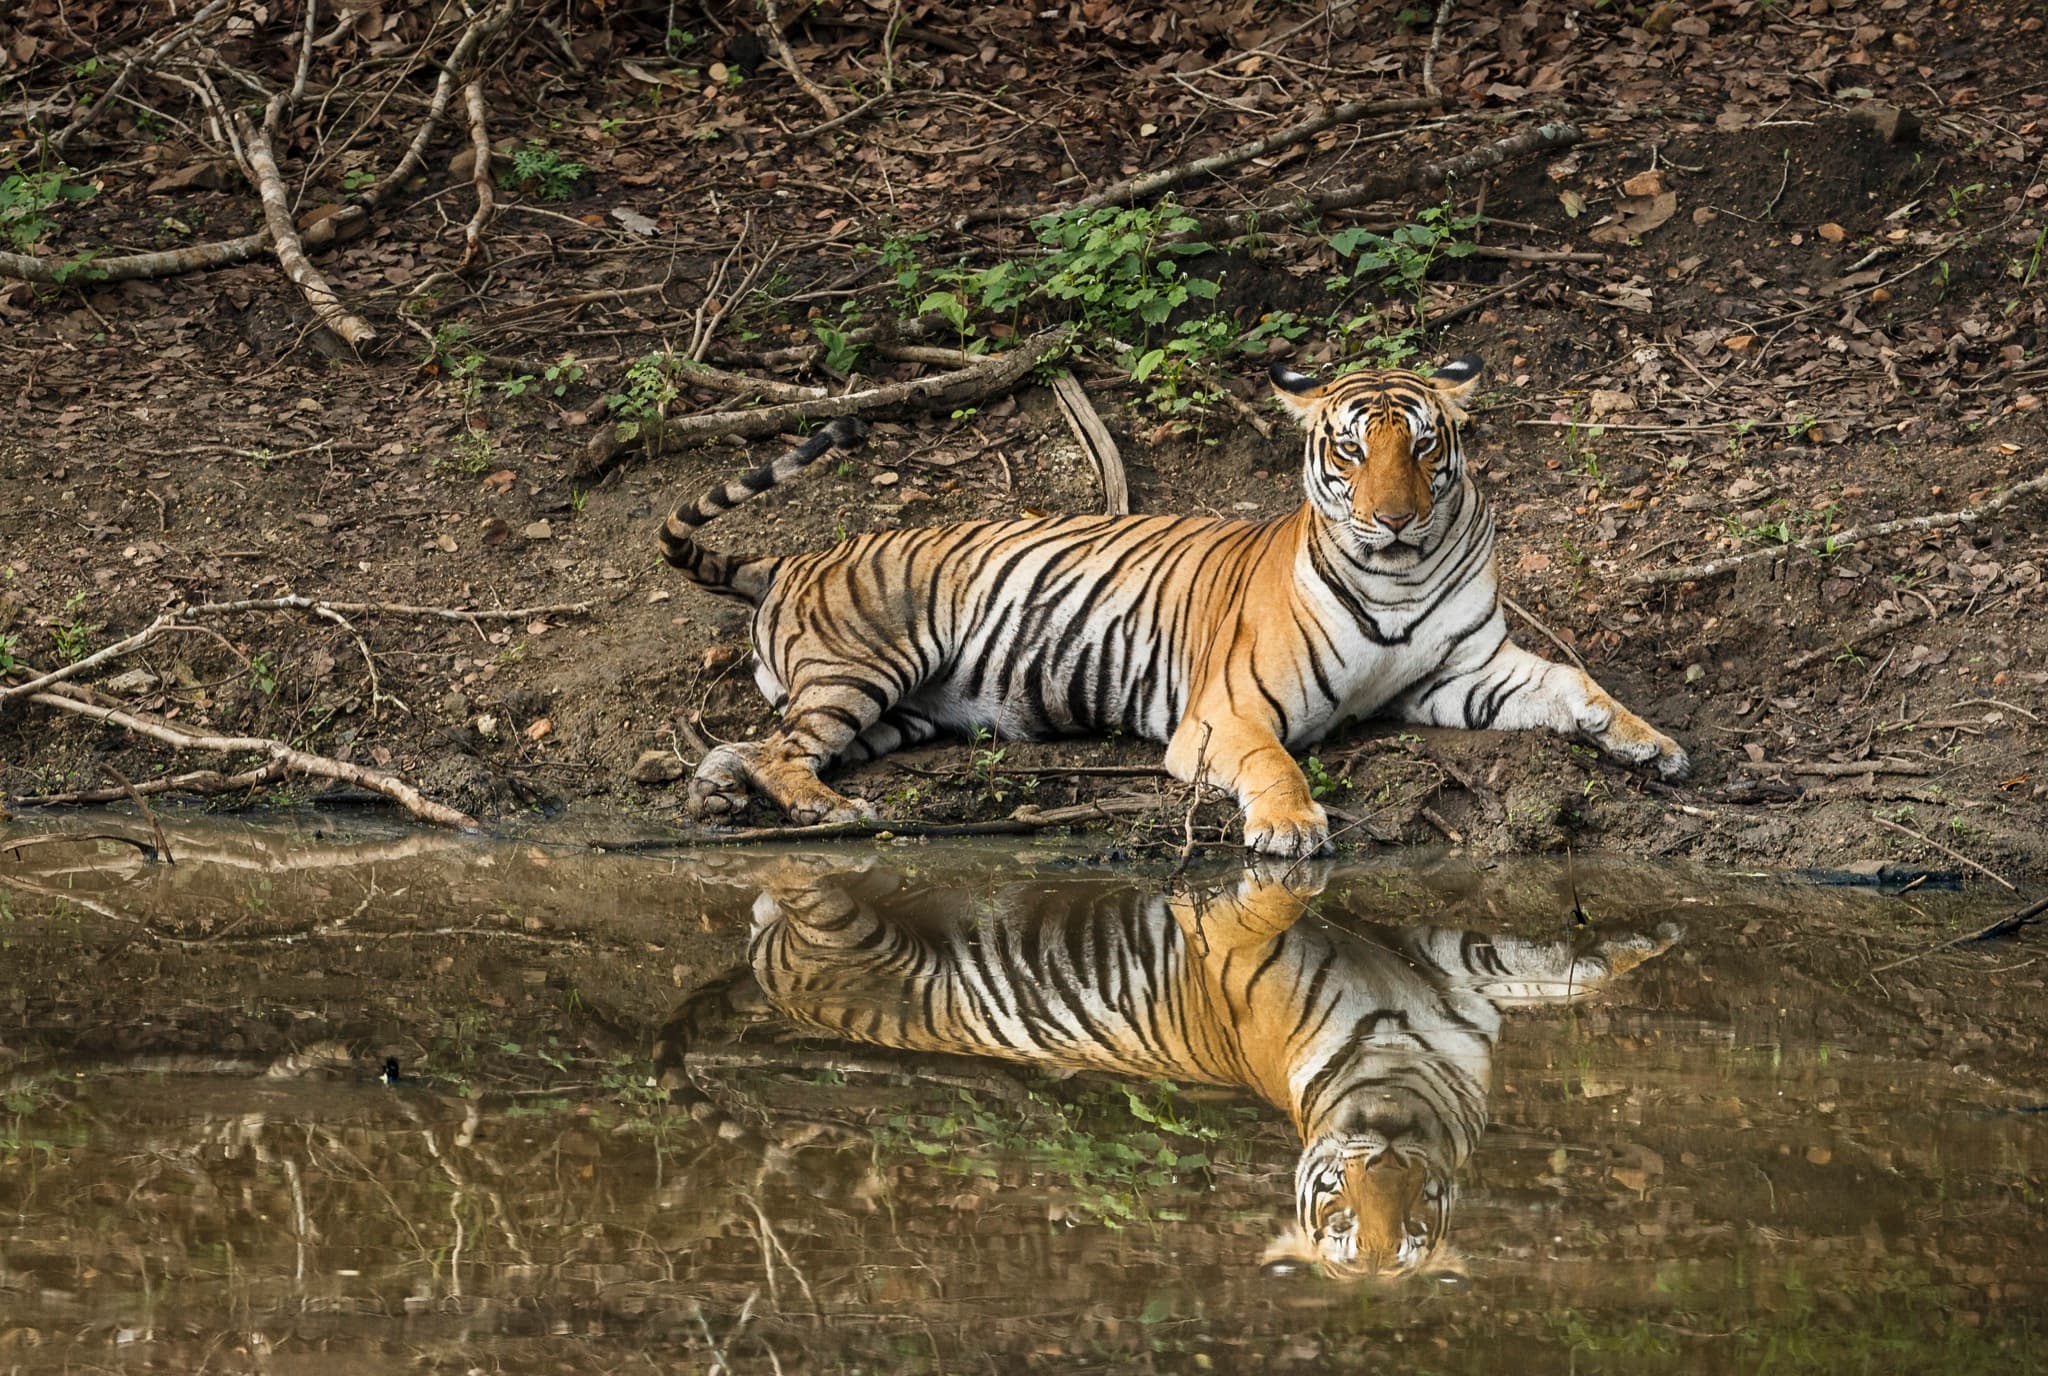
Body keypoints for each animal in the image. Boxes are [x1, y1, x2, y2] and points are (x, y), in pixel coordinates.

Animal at [657, 859, 1680, 1280]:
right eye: (1339, 1215)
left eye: (1414, 1223)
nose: (1382, 1163)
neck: (1397, 1072)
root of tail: (773, 977)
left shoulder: (1446, 968)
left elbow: (1546, 968)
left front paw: (1647, 940)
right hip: (850, 935)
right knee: (798, 880)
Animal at [659, 355, 1688, 855]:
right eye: (1351, 450)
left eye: (1425, 446)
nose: (1394, 517)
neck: (1399, 572)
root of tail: (795, 555)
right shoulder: (1224, 714)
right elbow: (1274, 760)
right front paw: (1289, 827)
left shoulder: (1459, 672)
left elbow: (1575, 684)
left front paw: (1654, 743)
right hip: (866, 668)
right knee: (785, 752)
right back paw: (827, 813)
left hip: (896, 713)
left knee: (749, 744)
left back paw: (717, 791)